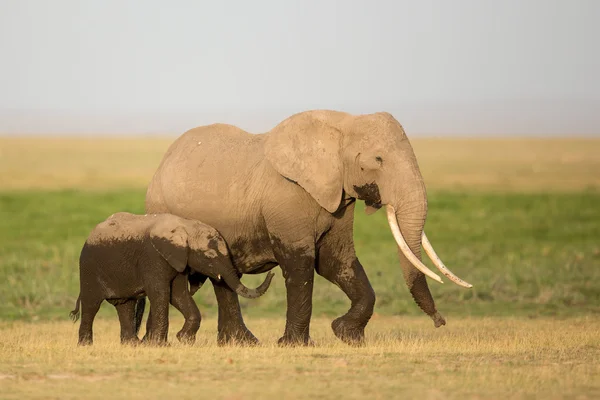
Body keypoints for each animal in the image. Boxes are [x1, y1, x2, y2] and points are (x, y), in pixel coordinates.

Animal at [70, 212, 274, 346]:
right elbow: (160, 293)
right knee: (91, 305)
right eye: (208, 255)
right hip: (88, 267)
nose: (271, 273)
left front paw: (184, 340)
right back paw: (86, 345)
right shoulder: (153, 257)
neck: (186, 226)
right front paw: (161, 345)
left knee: (125, 305)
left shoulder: (179, 260)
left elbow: (178, 295)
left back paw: (132, 344)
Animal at [144, 110, 468, 346]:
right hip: (162, 209)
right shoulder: (287, 198)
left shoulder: (338, 199)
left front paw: (347, 335)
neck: (342, 124)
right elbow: (300, 264)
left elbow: (336, 261)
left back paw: (241, 343)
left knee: (224, 277)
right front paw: (295, 345)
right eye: (378, 160)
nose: (440, 322)